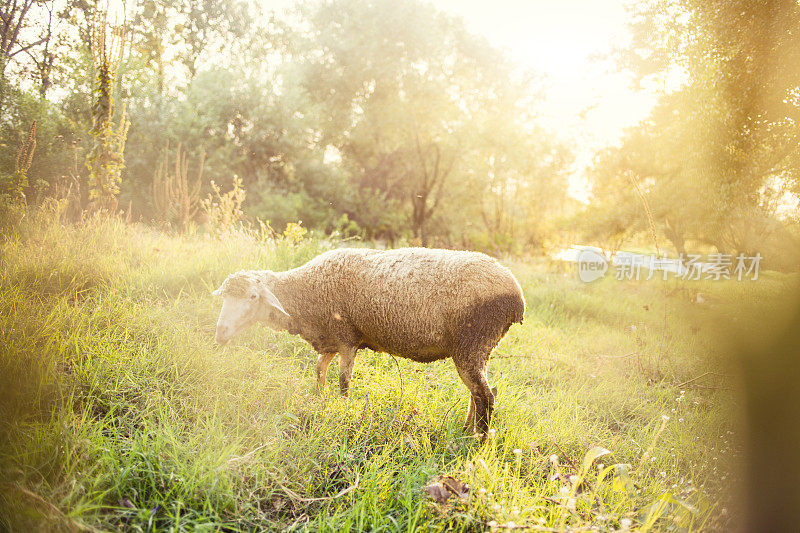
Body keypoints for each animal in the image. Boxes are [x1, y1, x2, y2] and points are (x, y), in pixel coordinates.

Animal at [212, 247, 524, 434]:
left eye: (252, 297)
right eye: (225, 297)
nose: (220, 334)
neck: (306, 293)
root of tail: (517, 298)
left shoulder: (347, 337)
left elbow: (343, 380)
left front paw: (342, 408)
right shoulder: (330, 338)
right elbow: (319, 370)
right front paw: (318, 399)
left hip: (472, 342)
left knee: (486, 395)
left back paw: (477, 443)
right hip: (477, 349)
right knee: (479, 392)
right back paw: (465, 430)